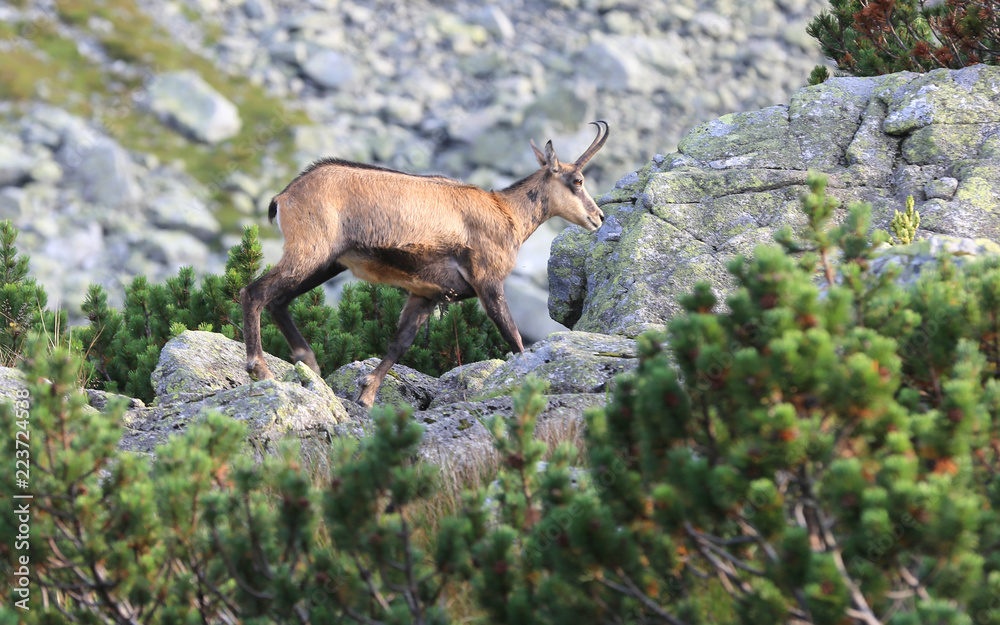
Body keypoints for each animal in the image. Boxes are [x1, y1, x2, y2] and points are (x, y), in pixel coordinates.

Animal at [240, 120, 609, 407]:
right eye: (577, 180)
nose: (599, 217)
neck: (507, 213)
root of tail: (285, 195)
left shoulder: (427, 292)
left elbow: (400, 343)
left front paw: (367, 395)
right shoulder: (487, 281)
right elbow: (514, 337)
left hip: (328, 262)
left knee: (278, 300)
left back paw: (310, 365)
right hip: (311, 250)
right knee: (254, 292)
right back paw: (261, 369)